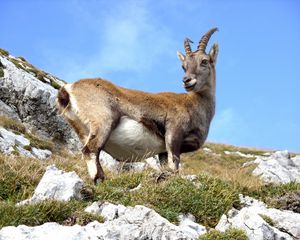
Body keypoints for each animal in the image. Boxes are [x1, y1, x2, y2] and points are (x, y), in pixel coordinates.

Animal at [56, 27, 218, 183]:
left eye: (204, 61)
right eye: (183, 66)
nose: (187, 80)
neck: (194, 104)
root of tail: (69, 88)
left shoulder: (163, 151)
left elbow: (166, 166)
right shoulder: (174, 133)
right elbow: (174, 165)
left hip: (82, 130)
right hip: (103, 121)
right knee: (90, 150)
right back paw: (99, 181)